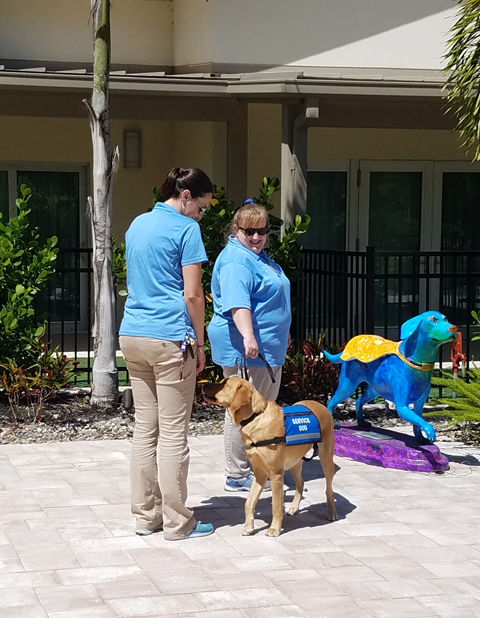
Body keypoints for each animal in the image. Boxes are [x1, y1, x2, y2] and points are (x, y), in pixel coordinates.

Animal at [203, 376, 338, 536]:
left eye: (224, 384)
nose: (203, 385)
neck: (256, 417)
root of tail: (321, 405)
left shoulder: (275, 475)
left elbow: (276, 506)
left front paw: (274, 528)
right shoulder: (260, 473)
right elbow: (249, 502)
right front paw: (248, 526)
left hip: (326, 459)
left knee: (329, 488)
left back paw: (332, 512)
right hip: (294, 463)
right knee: (301, 484)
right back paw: (294, 507)